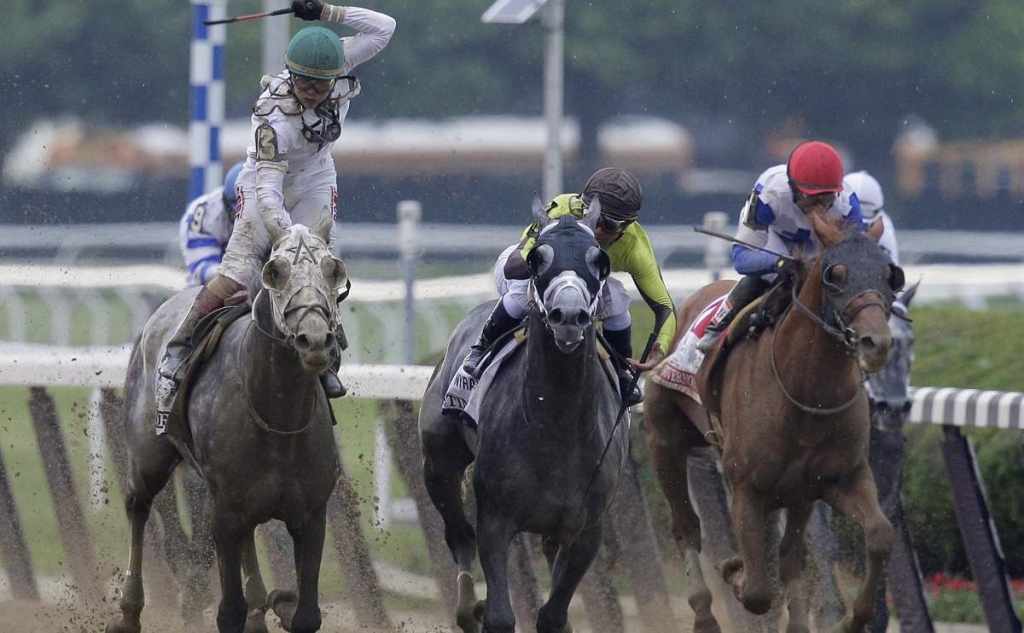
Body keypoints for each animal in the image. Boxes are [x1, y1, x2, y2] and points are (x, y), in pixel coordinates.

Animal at [106, 218, 348, 630]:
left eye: (333, 271)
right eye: (275, 272)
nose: (315, 340)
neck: (278, 419)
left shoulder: (311, 514)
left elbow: (306, 615)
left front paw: (280, 601)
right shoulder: (223, 513)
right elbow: (229, 611)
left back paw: (260, 605)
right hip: (148, 457)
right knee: (138, 507)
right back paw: (129, 612)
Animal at [419, 203, 626, 630]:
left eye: (599, 260)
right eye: (537, 259)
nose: (568, 316)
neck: (557, 427)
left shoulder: (587, 530)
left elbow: (553, 614)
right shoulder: (496, 519)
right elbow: (500, 614)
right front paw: (483, 610)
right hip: (438, 463)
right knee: (458, 535)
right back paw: (468, 607)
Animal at [643, 213, 909, 630]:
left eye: (889, 274)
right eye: (836, 274)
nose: (875, 343)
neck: (806, 391)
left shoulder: (837, 479)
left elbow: (879, 534)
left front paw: (851, 619)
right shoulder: (747, 487)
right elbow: (756, 591)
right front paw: (734, 569)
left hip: (794, 493)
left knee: (790, 554)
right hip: (664, 441)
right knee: (686, 526)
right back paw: (704, 614)